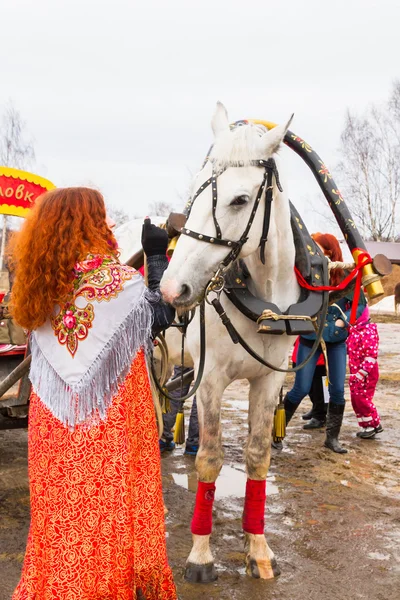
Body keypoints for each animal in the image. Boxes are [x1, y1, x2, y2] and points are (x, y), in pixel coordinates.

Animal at [160, 103, 300, 580]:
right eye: (196, 192)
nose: (172, 289)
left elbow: (257, 456)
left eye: (239, 200)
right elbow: (210, 458)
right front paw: (201, 555)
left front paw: (257, 546)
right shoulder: (211, 380)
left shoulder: (268, 381)